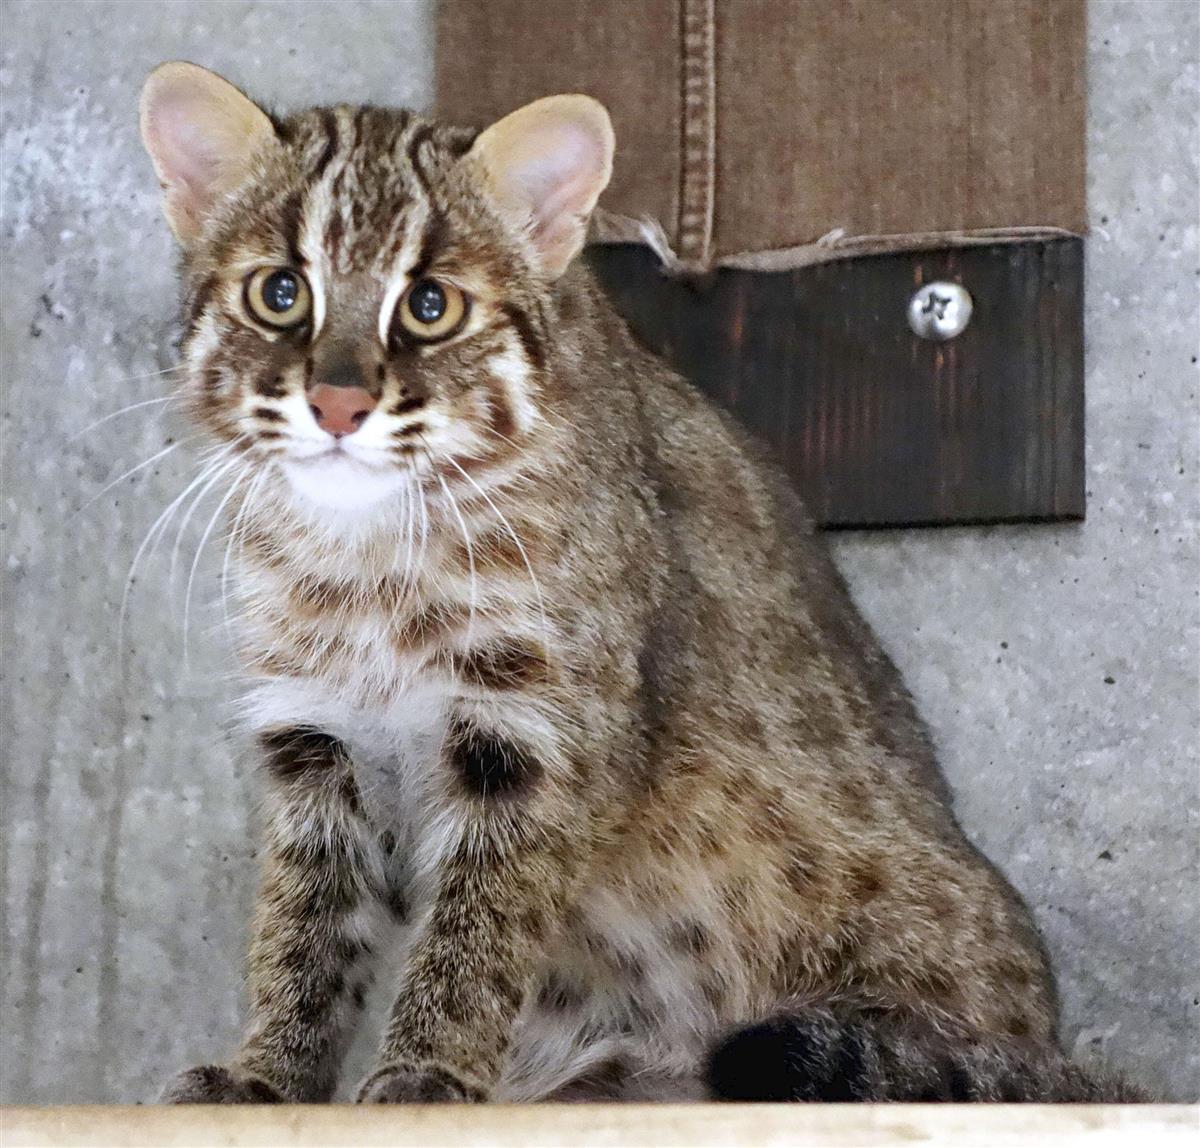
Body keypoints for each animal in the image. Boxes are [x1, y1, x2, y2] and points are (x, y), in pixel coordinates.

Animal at [136, 62, 1137, 1103]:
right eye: (280, 292)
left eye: (430, 306)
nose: (338, 403)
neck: (365, 542)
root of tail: (1058, 1044)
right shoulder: (314, 740)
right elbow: (303, 929)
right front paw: (267, 1078)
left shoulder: (540, 738)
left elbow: (476, 931)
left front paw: (426, 1075)